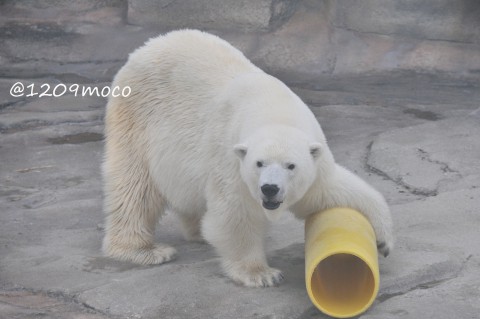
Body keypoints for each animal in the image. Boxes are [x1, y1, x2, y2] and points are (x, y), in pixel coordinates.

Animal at [102, 30, 394, 288]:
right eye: (259, 163)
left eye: (291, 166)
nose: (270, 189)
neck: (275, 110)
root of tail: (147, 46)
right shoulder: (231, 160)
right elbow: (235, 214)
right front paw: (262, 274)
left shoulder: (315, 163)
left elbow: (337, 191)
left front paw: (383, 241)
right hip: (138, 116)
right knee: (136, 186)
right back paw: (144, 249)